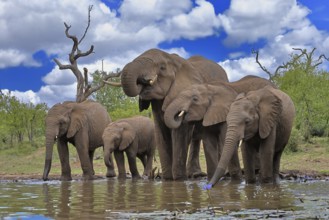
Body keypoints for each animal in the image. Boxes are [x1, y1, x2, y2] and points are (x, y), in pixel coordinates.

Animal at [120, 48, 228, 180]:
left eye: (162, 67)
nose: (142, 81)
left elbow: (180, 133)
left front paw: (179, 179)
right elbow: (161, 132)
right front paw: (167, 179)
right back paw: (195, 174)